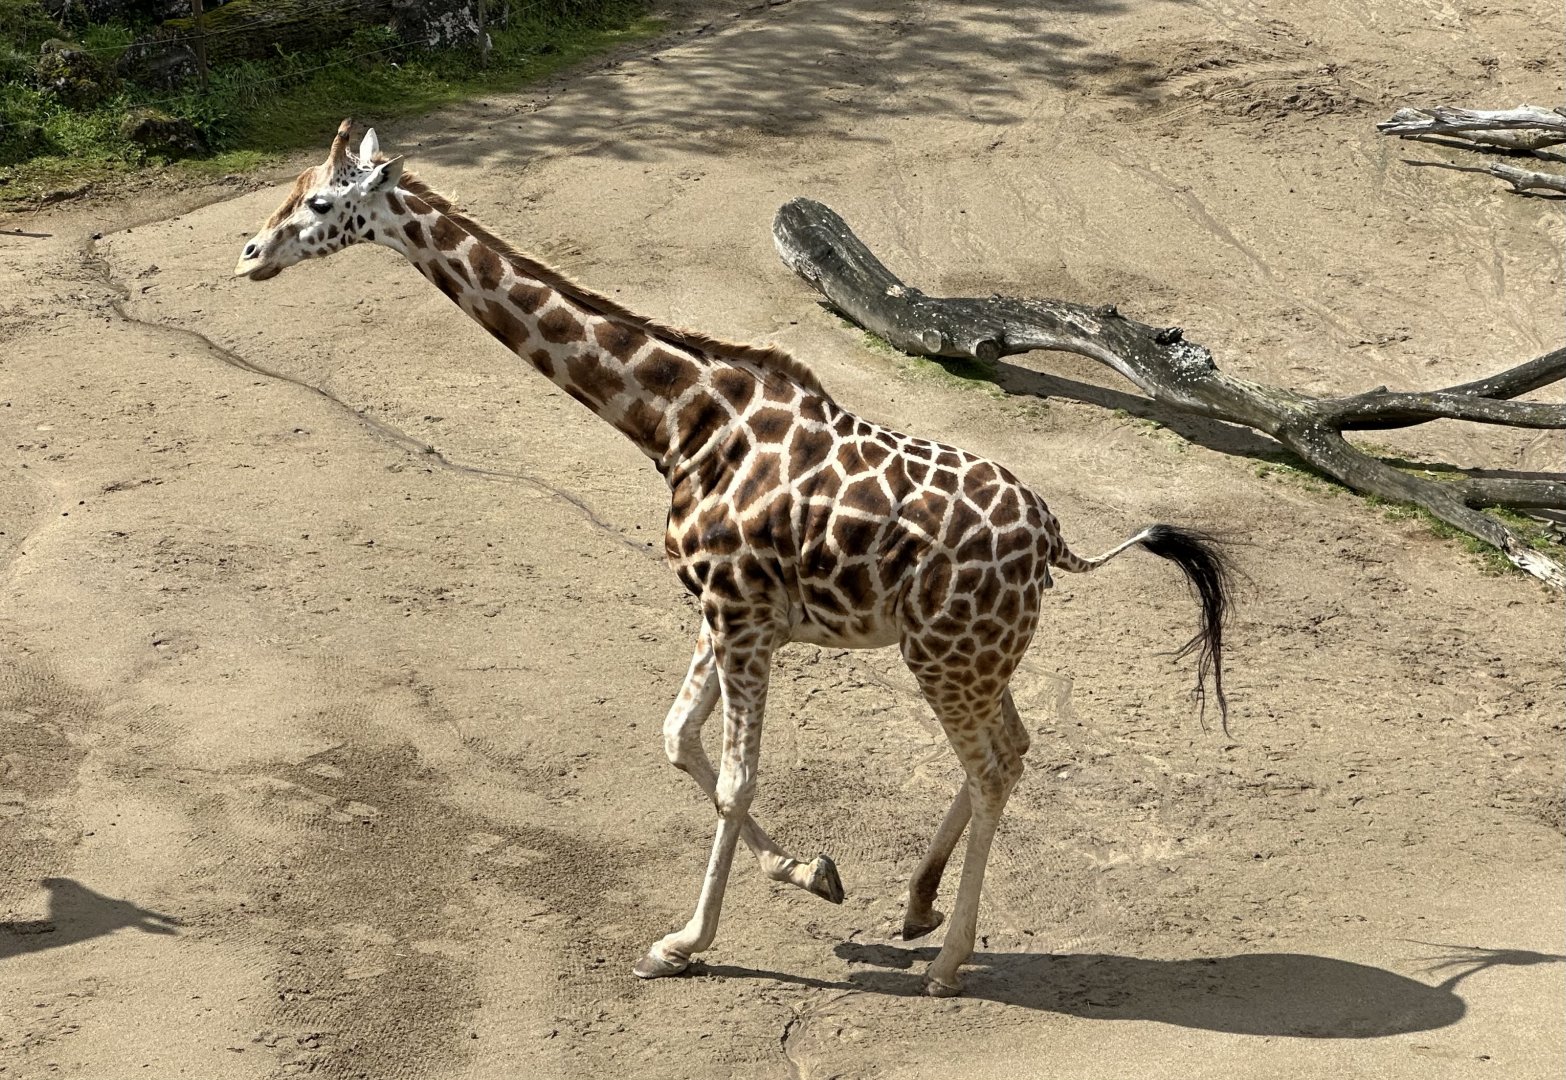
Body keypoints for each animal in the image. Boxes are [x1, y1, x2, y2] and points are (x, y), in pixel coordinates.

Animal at [235, 121, 1234, 997]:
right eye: (294, 191)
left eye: (319, 200)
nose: (247, 255)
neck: (676, 421)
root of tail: (1056, 539)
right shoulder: (723, 612)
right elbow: (676, 738)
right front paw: (812, 870)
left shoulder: (741, 617)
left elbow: (733, 778)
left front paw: (682, 943)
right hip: (972, 656)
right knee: (1016, 751)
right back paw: (916, 906)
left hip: (948, 656)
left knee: (993, 766)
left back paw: (948, 964)